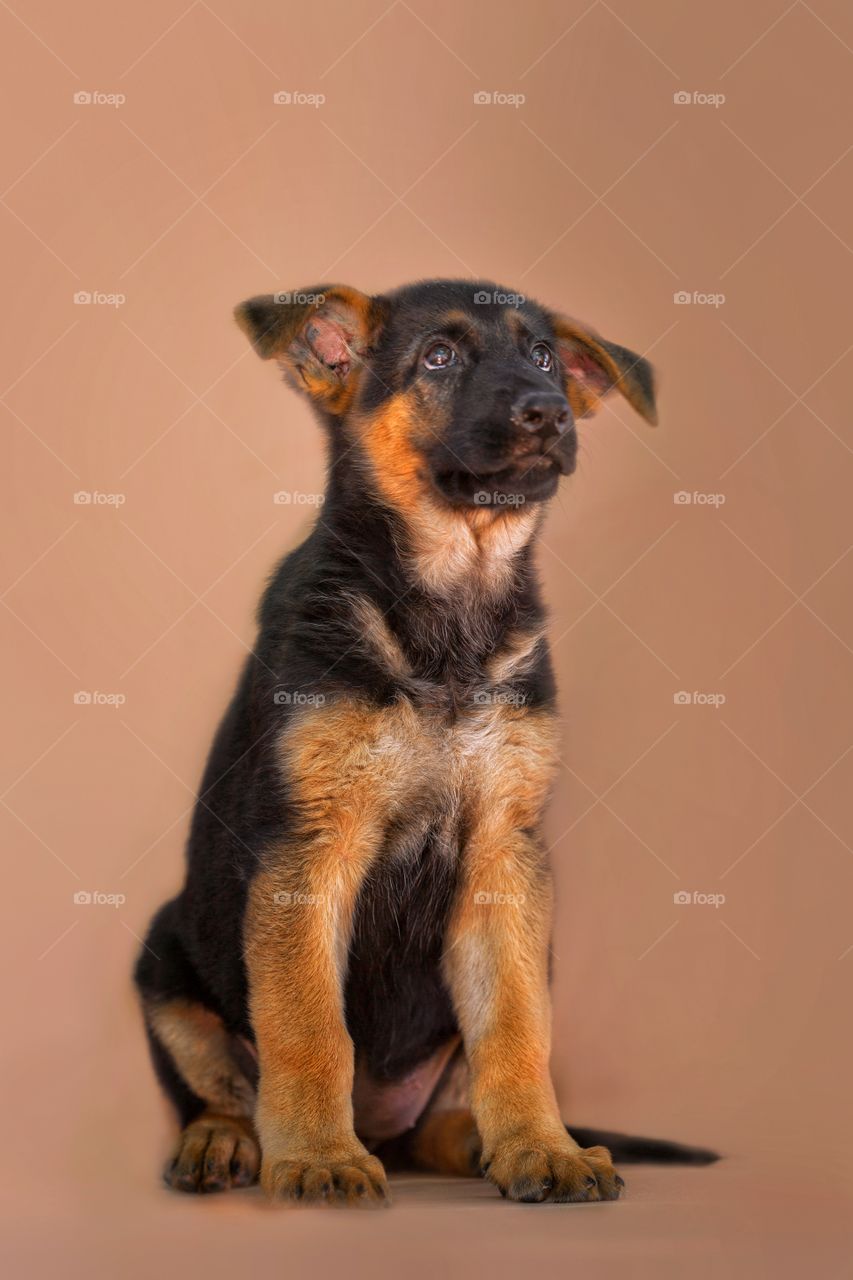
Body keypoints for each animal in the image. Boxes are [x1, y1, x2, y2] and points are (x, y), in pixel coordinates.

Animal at [136, 282, 712, 1208]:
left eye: (544, 356)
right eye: (437, 358)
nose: (549, 411)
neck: (453, 600)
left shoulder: (504, 858)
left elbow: (514, 1028)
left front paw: (538, 1146)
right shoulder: (309, 851)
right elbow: (307, 1024)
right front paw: (318, 1157)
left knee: (447, 1109)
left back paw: (478, 1141)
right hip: (162, 959)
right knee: (221, 1087)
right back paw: (230, 1143)